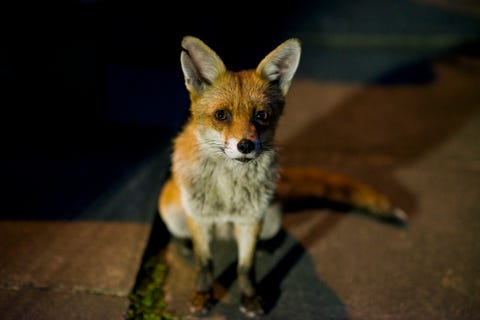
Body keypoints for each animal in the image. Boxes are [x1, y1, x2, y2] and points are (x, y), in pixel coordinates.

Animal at [158, 35, 404, 318]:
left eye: (261, 115)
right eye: (221, 115)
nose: (245, 145)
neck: (229, 194)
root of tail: (225, 233)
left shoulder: (251, 220)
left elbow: (245, 267)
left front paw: (250, 298)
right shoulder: (199, 218)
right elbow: (205, 264)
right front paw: (202, 295)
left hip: (272, 216)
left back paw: (268, 246)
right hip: (172, 210)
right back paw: (186, 243)